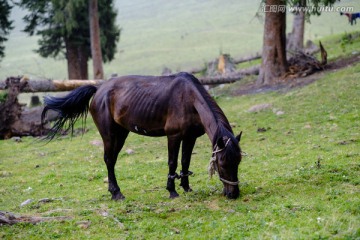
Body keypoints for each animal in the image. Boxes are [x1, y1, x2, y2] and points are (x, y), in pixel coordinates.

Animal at [41, 72, 242, 200]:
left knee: (112, 160)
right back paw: (116, 193)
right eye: (222, 164)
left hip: (121, 133)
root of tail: (98, 89)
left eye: (238, 162)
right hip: (109, 135)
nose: (233, 194)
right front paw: (172, 191)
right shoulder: (174, 136)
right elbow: (172, 163)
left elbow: (185, 161)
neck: (189, 98)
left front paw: (186, 187)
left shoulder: (190, 137)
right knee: (108, 160)